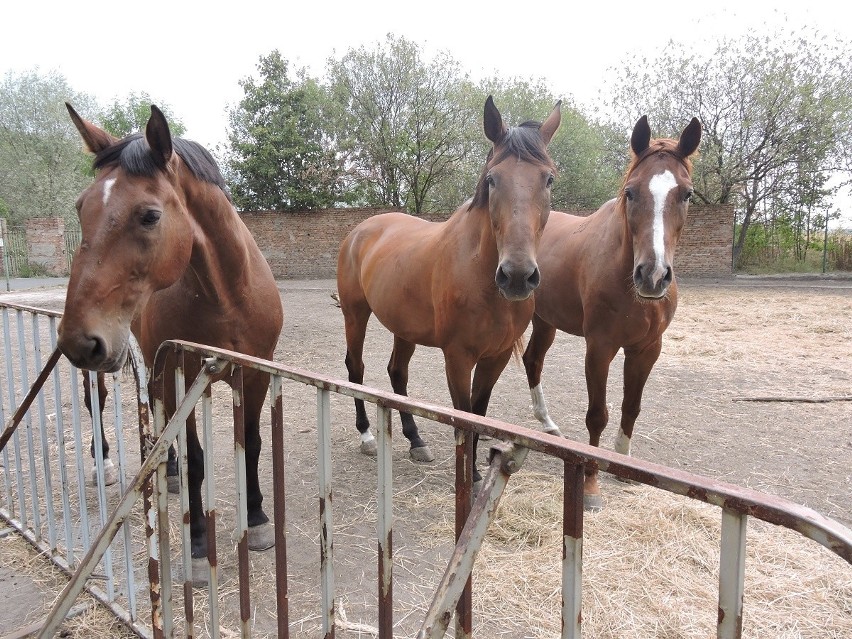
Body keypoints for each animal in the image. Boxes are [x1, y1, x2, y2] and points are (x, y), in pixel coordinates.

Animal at [58, 104, 282, 576]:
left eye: (149, 215)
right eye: (82, 207)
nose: (77, 340)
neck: (227, 295)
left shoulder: (255, 374)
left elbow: (251, 444)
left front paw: (256, 520)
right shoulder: (185, 374)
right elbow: (197, 458)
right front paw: (197, 541)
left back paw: (170, 469)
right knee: (97, 402)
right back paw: (104, 463)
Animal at [336, 97, 564, 482]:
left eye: (548, 178)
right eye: (492, 179)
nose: (517, 276)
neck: (481, 278)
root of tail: (360, 231)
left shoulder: (496, 357)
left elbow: (479, 411)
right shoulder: (457, 357)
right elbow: (465, 415)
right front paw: (469, 478)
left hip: (404, 328)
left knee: (397, 373)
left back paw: (415, 440)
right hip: (356, 315)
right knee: (356, 368)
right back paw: (367, 435)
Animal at [524, 116, 704, 510]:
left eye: (686, 194)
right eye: (631, 192)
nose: (652, 275)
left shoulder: (647, 350)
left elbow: (630, 407)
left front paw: (623, 466)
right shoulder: (599, 348)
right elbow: (598, 415)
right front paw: (591, 486)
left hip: (545, 321)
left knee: (533, 361)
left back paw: (548, 424)